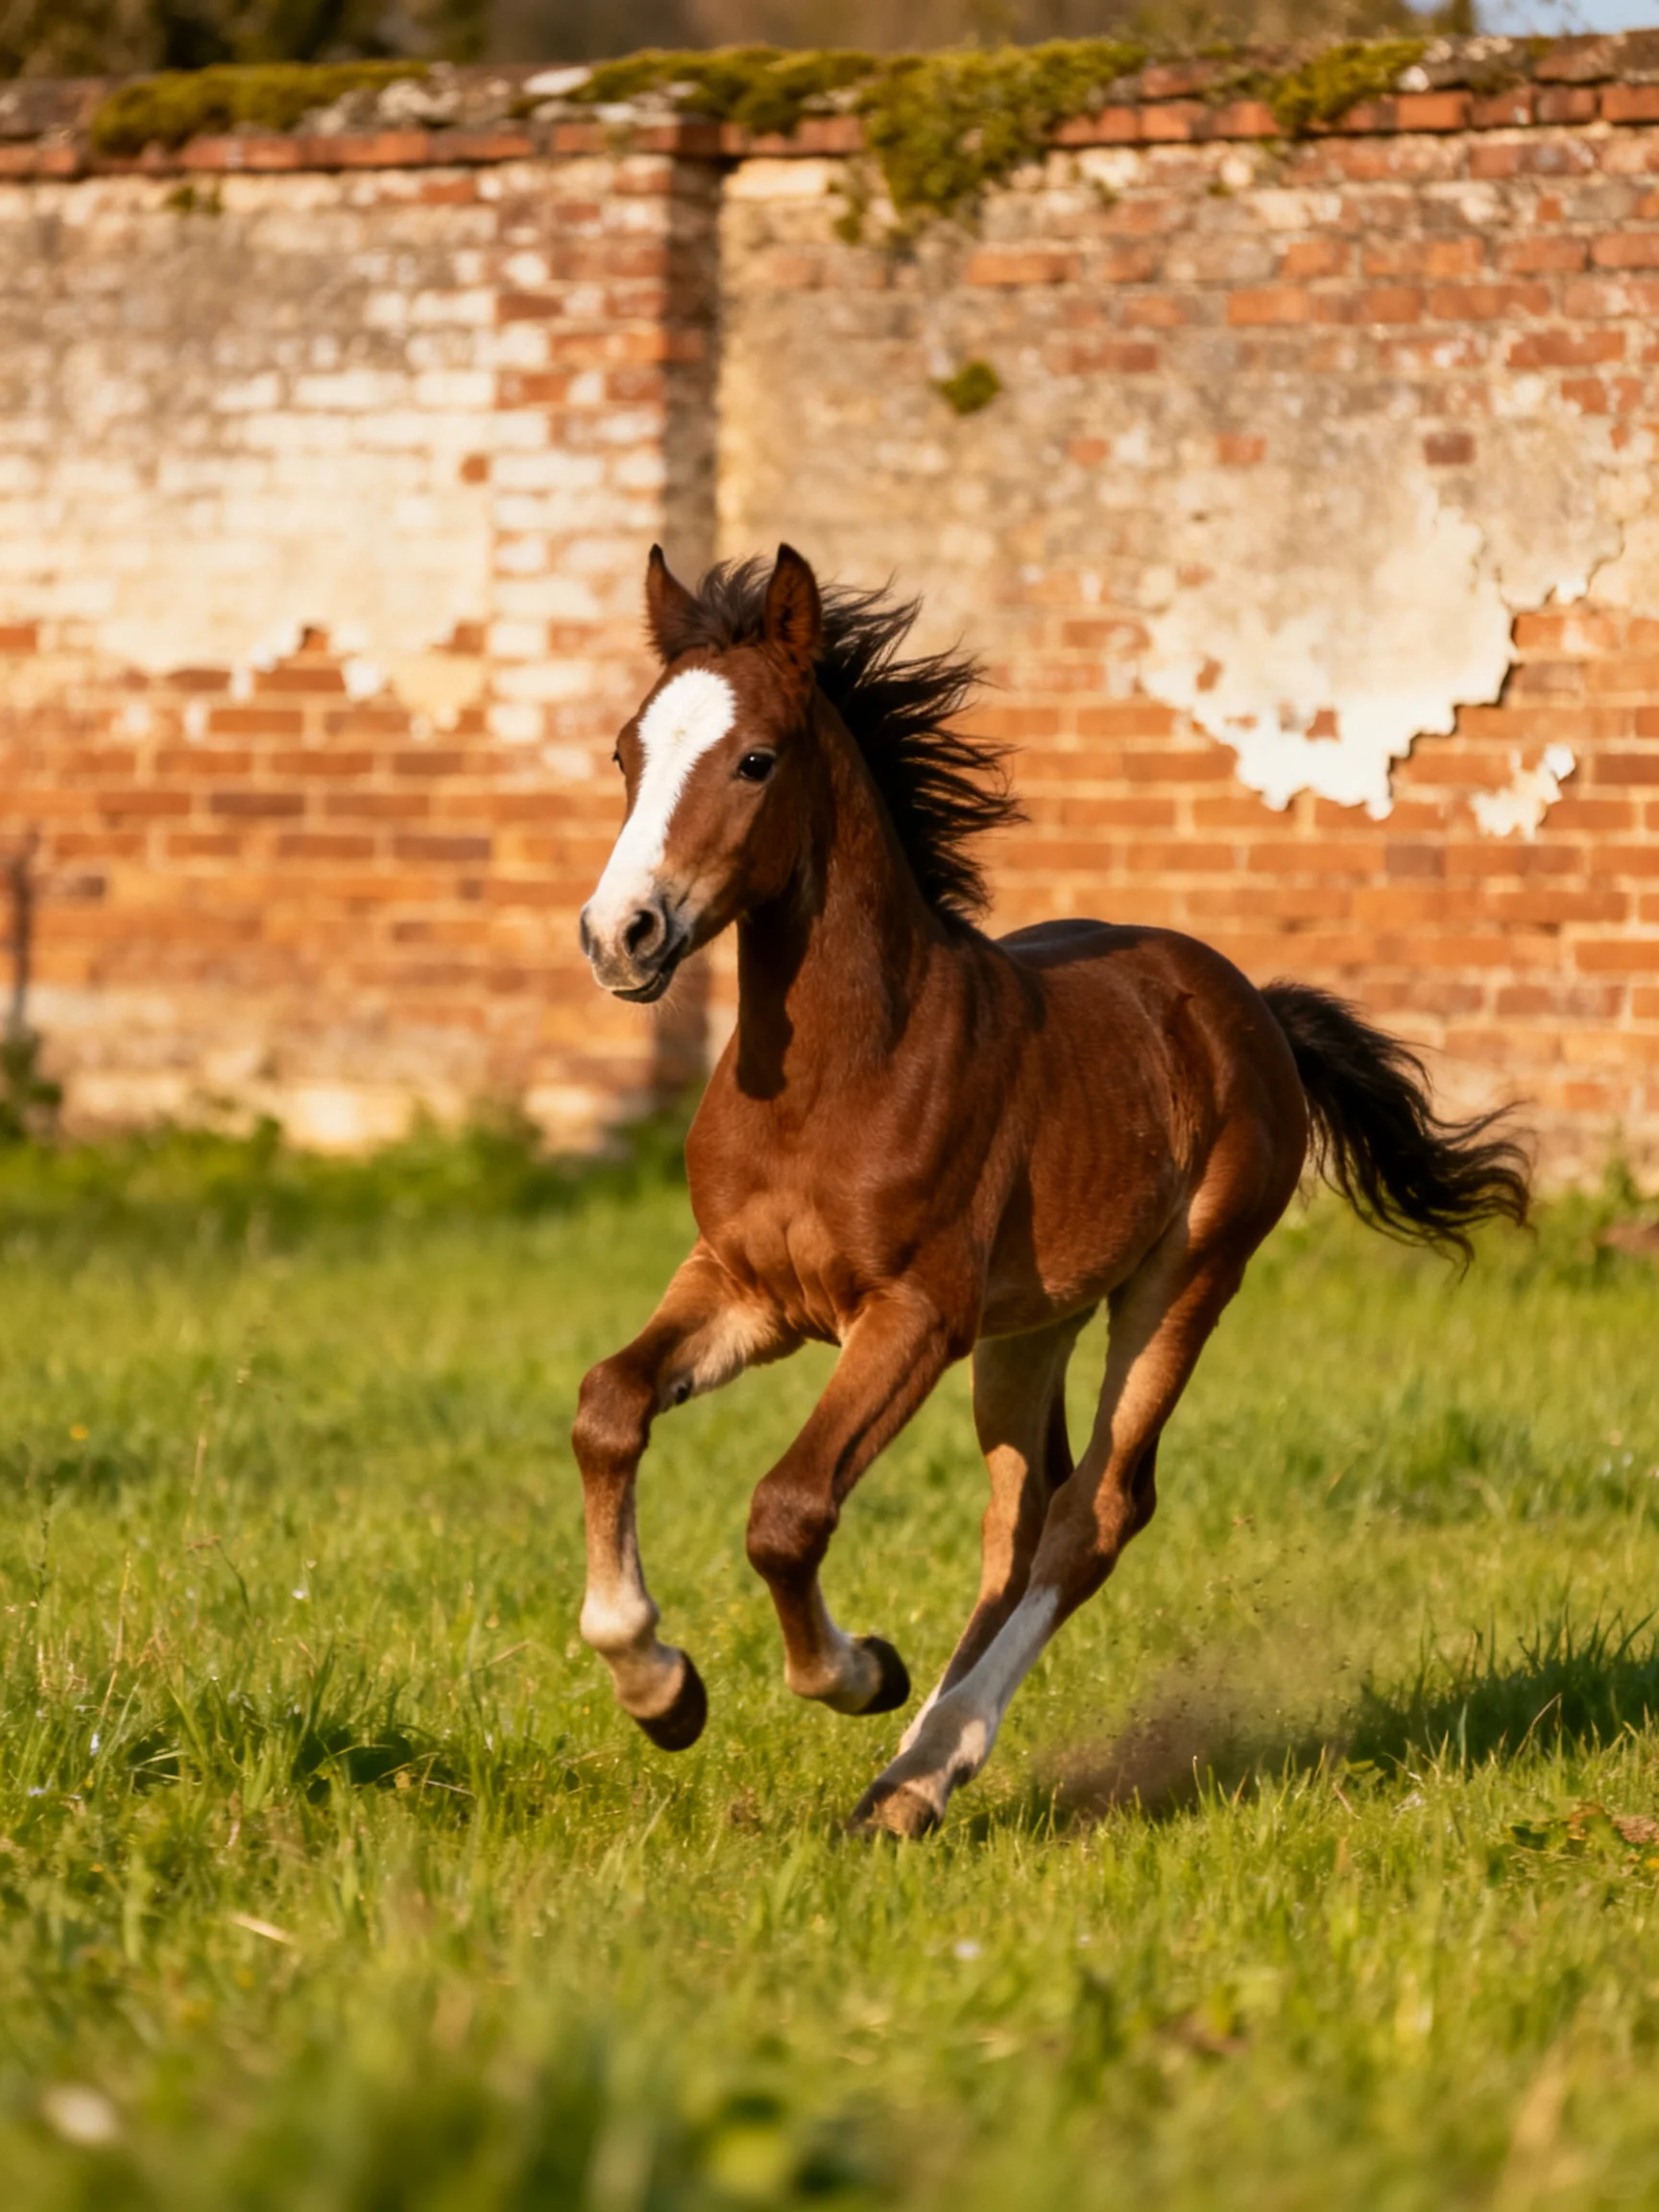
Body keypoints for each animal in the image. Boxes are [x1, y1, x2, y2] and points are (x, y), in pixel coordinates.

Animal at [572, 543, 1529, 1838]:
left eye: (756, 759)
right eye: (627, 751)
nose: (620, 934)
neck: (838, 1072)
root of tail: (1250, 1006)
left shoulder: (911, 1316)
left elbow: (788, 1509)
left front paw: (858, 1671)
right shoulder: (743, 1287)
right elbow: (609, 1405)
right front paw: (659, 1688)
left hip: (1183, 1283)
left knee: (1096, 1512)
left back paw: (924, 1765)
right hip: (1029, 1328)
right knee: (1017, 1523)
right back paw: (904, 1783)